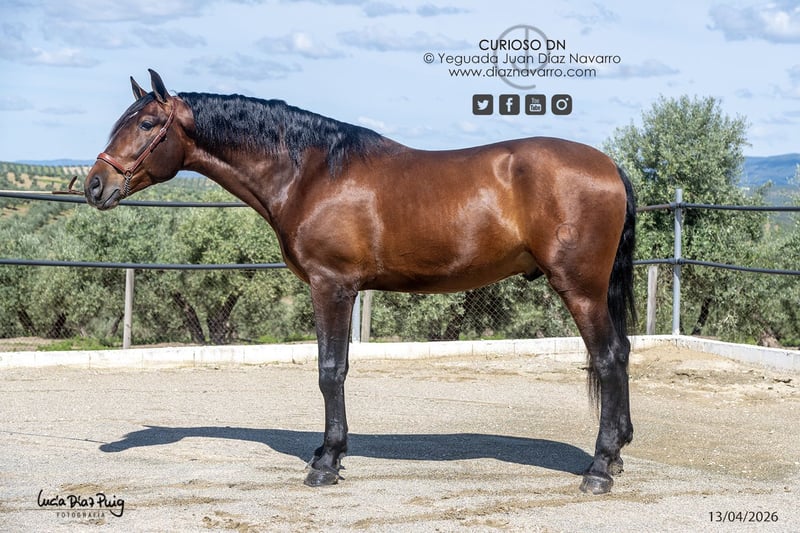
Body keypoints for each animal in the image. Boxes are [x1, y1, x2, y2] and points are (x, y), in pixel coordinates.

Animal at [84, 69, 636, 495]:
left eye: (148, 123)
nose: (94, 185)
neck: (310, 173)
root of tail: (609, 165)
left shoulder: (331, 286)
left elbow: (331, 371)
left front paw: (327, 462)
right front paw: (326, 452)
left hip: (580, 288)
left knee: (608, 359)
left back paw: (599, 469)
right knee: (624, 353)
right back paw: (618, 452)